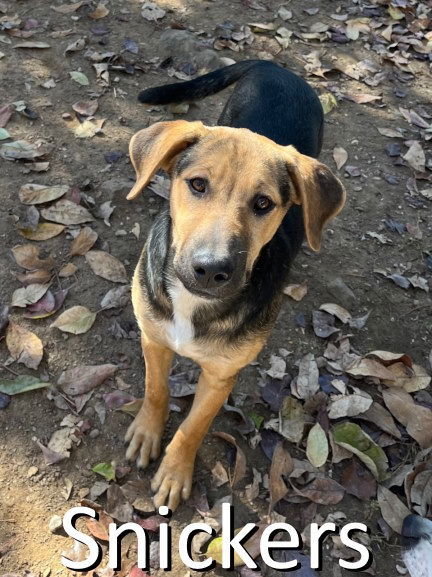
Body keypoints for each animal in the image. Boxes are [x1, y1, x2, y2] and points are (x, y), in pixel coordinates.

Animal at [124, 59, 344, 508]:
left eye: (263, 204)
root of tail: (279, 67)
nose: (211, 269)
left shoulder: (221, 375)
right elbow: (156, 391)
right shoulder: (152, 337)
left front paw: (174, 471)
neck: (192, 305)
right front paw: (147, 433)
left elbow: (193, 426)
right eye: (197, 184)